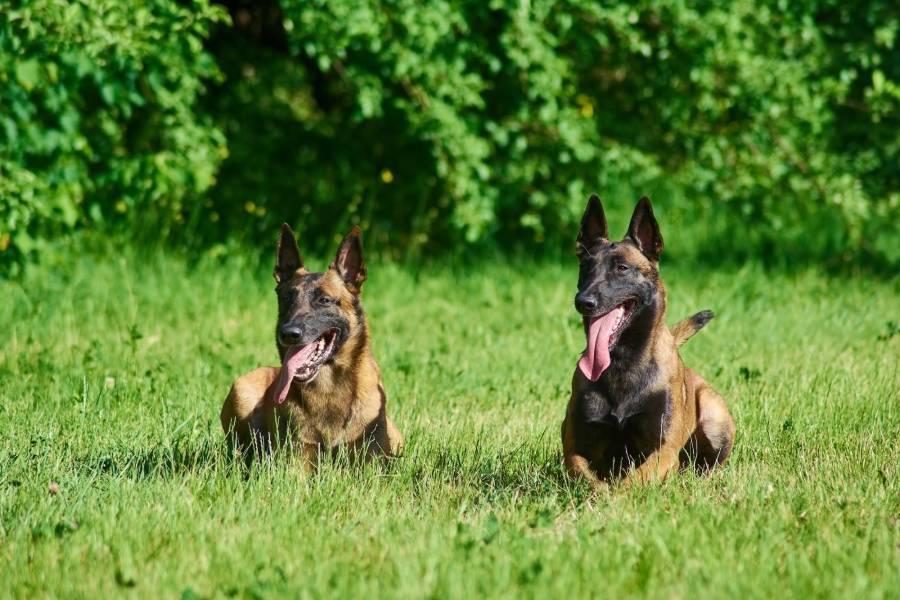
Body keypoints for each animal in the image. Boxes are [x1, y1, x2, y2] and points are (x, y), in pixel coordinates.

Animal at [220, 223, 402, 466]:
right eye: (286, 298)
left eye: (324, 300)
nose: (288, 334)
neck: (329, 387)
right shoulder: (298, 459)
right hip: (241, 389)